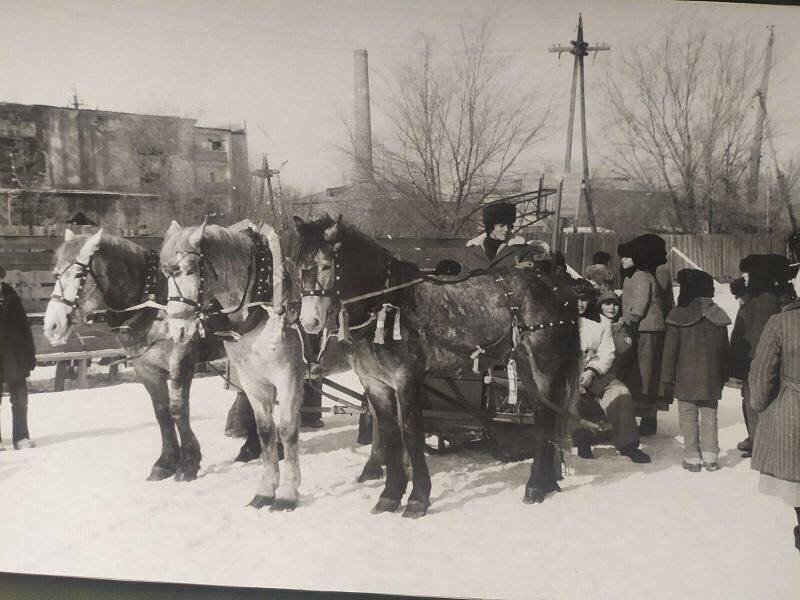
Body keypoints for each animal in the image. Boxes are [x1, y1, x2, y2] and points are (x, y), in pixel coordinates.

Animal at [43, 230, 260, 482]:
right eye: (56, 274)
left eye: (79, 274)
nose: (52, 326)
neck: (153, 304)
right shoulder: (145, 366)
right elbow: (161, 412)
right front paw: (165, 462)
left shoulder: (181, 359)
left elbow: (178, 410)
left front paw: (188, 463)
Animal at [296, 213, 584, 516]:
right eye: (298, 266)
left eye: (326, 265)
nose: (309, 322)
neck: (388, 306)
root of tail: (555, 287)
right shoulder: (375, 383)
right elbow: (389, 434)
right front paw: (389, 496)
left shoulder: (406, 380)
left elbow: (411, 434)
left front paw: (417, 499)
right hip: (525, 368)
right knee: (547, 419)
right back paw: (549, 481)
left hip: (544, 367)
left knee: (545, 420)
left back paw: (536, 486)